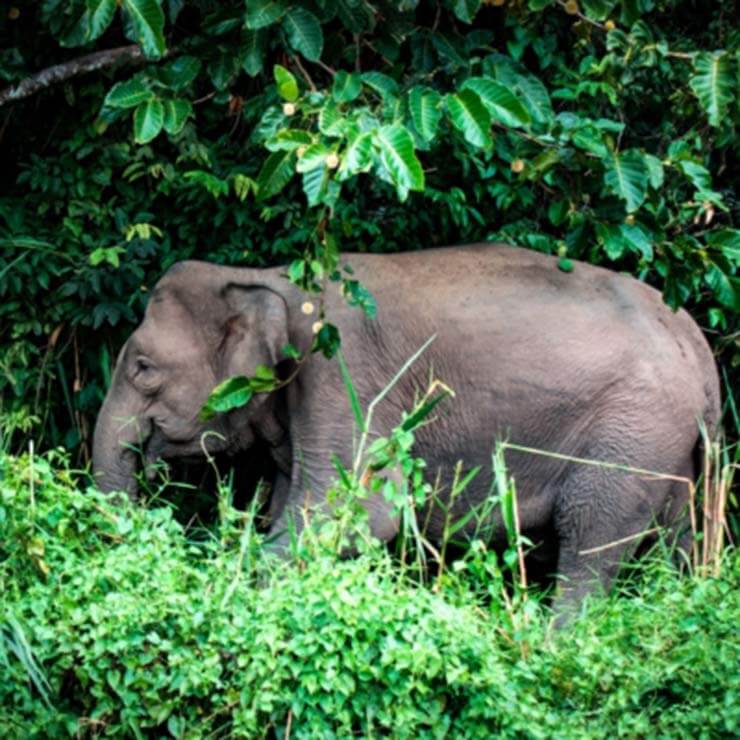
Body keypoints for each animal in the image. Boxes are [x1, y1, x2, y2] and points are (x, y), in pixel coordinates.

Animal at [93, 244, 721, 615]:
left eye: (143, 367)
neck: (263, 277)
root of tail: (697, 347)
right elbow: (294, 509)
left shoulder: (345, 375)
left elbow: (356, 514)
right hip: (666, 445)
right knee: (672, 539)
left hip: (631, 433)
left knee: (590, 539)